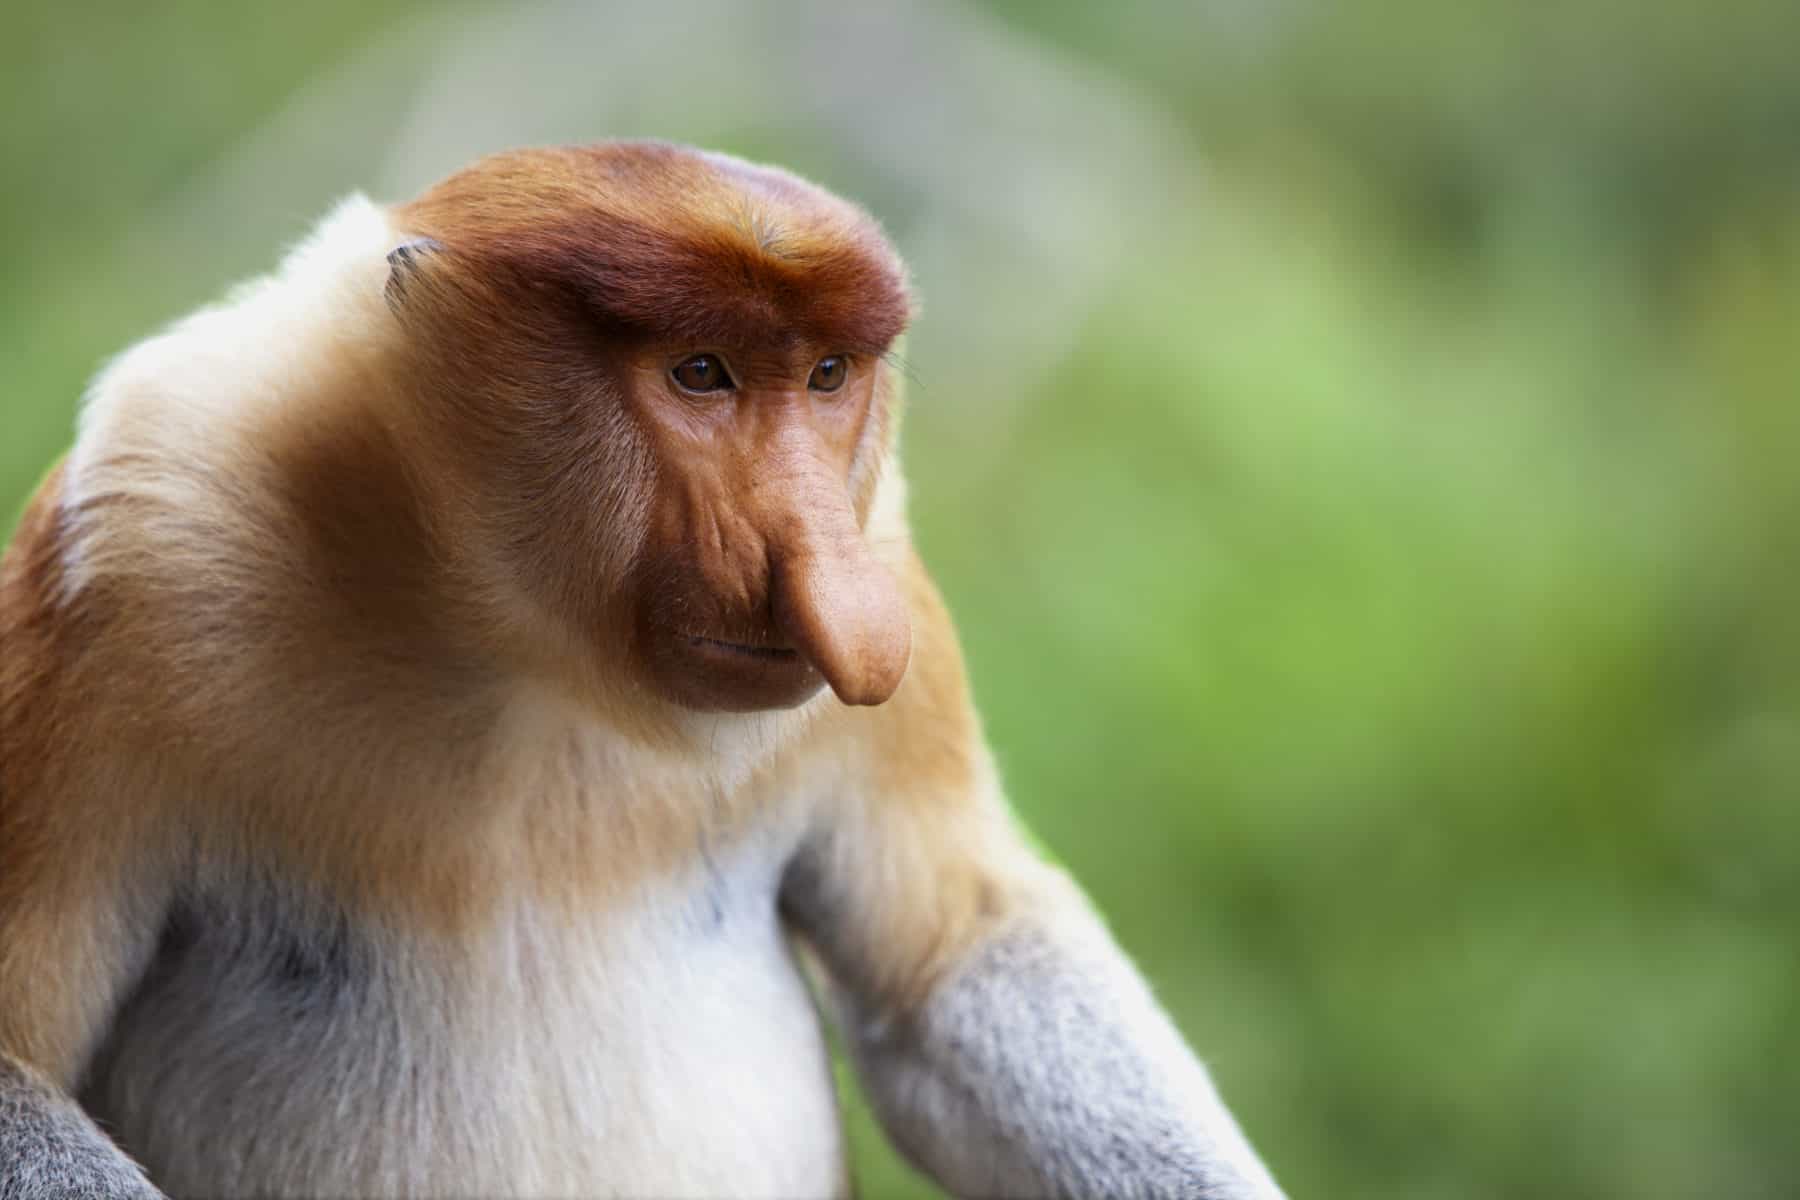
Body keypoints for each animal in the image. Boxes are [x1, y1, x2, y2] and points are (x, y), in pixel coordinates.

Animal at [0, 143, 1281, 1200]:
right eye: (701, 373)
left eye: (827, 376)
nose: (825, 582)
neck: (513, 641)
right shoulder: (136, 548)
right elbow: (15, 1063)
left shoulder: (886, 555)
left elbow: (950, 958)